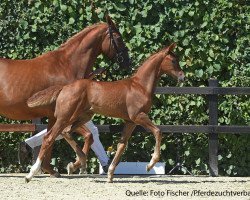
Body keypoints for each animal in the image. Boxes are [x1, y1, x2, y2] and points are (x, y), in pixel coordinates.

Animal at [25, 43, 185, 183]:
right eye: (173, 60)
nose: (183, 77)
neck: (140, 86)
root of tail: (64, 87)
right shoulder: (138, 116)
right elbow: (158, 131)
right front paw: (150, 165)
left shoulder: (130, 122)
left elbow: (121, 145)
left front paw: (110, 174)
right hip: (66, 116)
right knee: (49, 138)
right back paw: (31, 174)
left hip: (82, 116)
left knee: (66, 132)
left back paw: (77, 163)